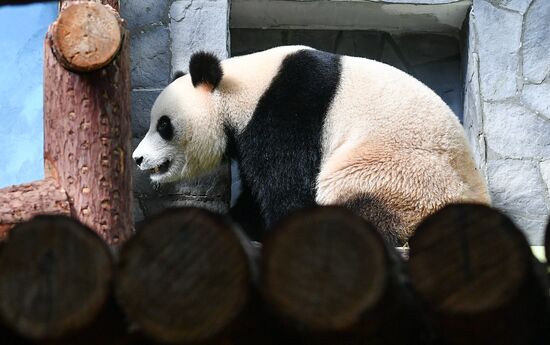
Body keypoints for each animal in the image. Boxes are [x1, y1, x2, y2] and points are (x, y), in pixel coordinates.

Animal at [134, 45, 492, 245]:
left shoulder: (288, 109)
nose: (138, 158)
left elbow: (287, 183)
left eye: (163, 125)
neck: (241, 89)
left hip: (398, 174)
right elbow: (254, 193)